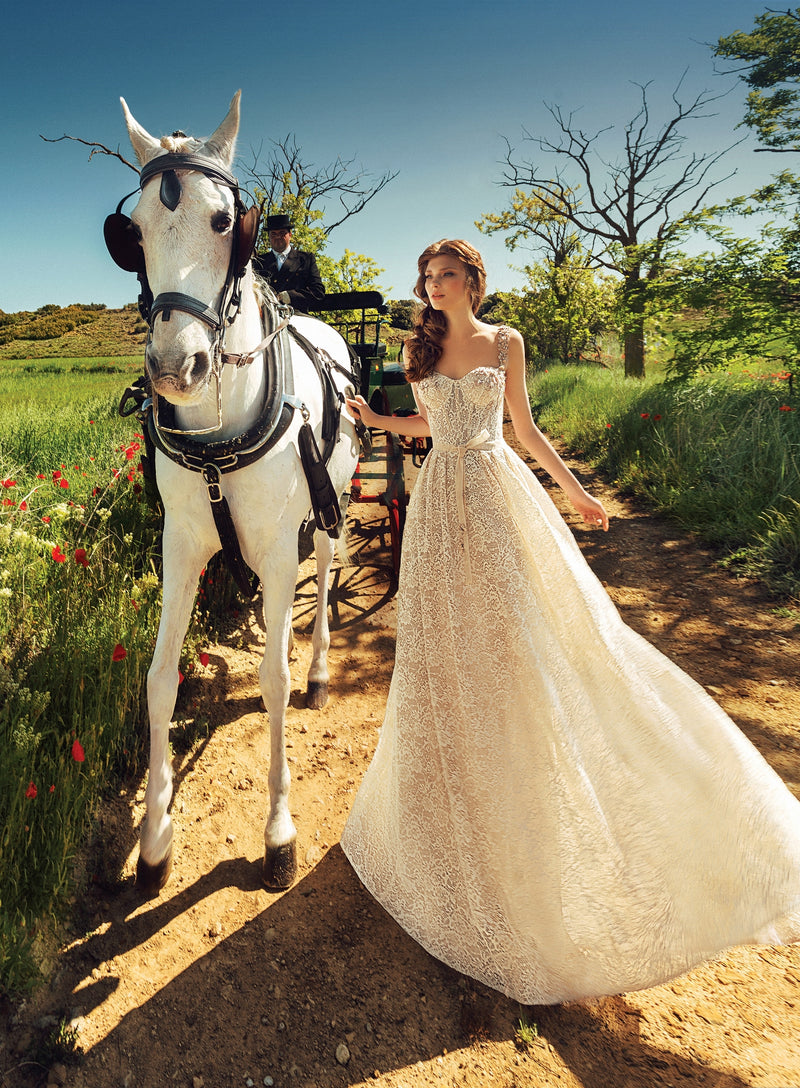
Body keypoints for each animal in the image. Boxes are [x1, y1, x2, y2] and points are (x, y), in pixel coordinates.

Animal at [112, 91, 359, 892]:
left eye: (226, 221)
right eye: (133, 232)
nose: (175, 367)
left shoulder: (283, 549)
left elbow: (274, 680)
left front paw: (279, 835)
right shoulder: (181, 547)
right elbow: (160, 680)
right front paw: (154, 842)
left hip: (330, 505)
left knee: (329, 569)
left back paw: (320, 667)